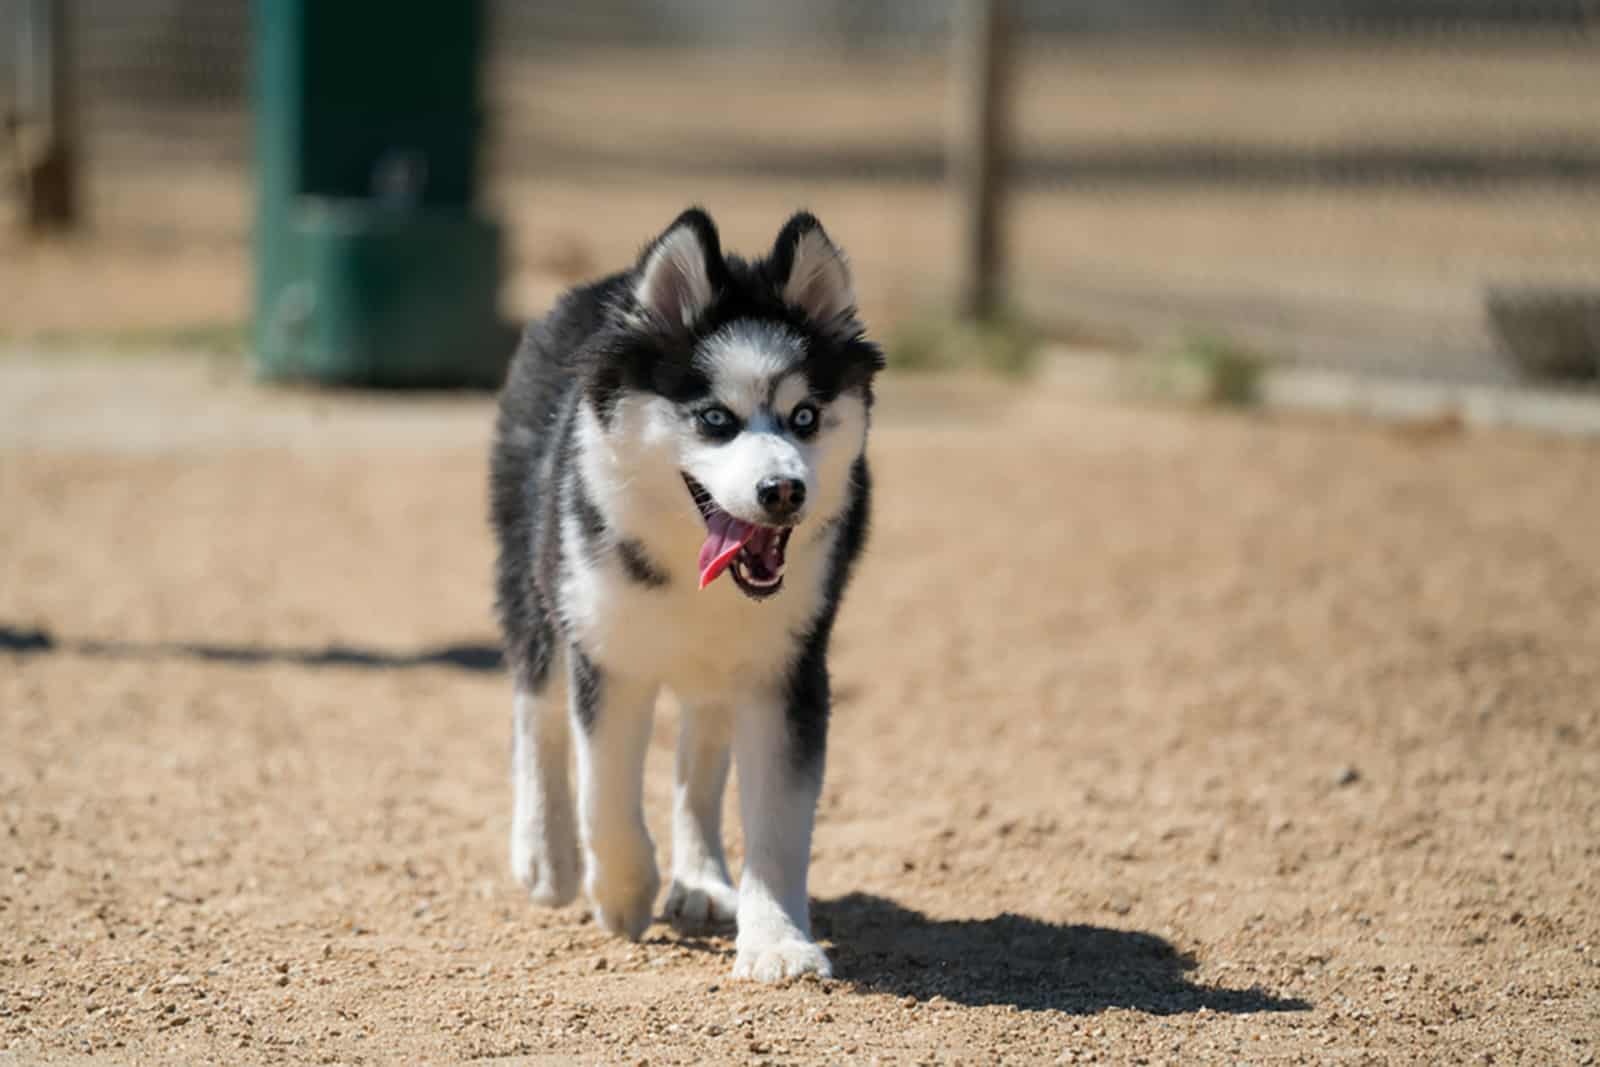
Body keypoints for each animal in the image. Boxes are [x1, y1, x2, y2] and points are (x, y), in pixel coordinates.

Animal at [489, 204, 889, 979]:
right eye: (714, 419)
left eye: (804, 417)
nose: (783, 491)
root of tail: (608, 287)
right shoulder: (606, 654)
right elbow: (604, 791)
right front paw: (620, 892)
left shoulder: (787, 670)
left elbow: (778, 822)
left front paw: (778, 941)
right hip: (537, 583)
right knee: (536, 709)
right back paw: (547, 856)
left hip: (719, 669)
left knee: (699, 757)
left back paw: (702, 879)